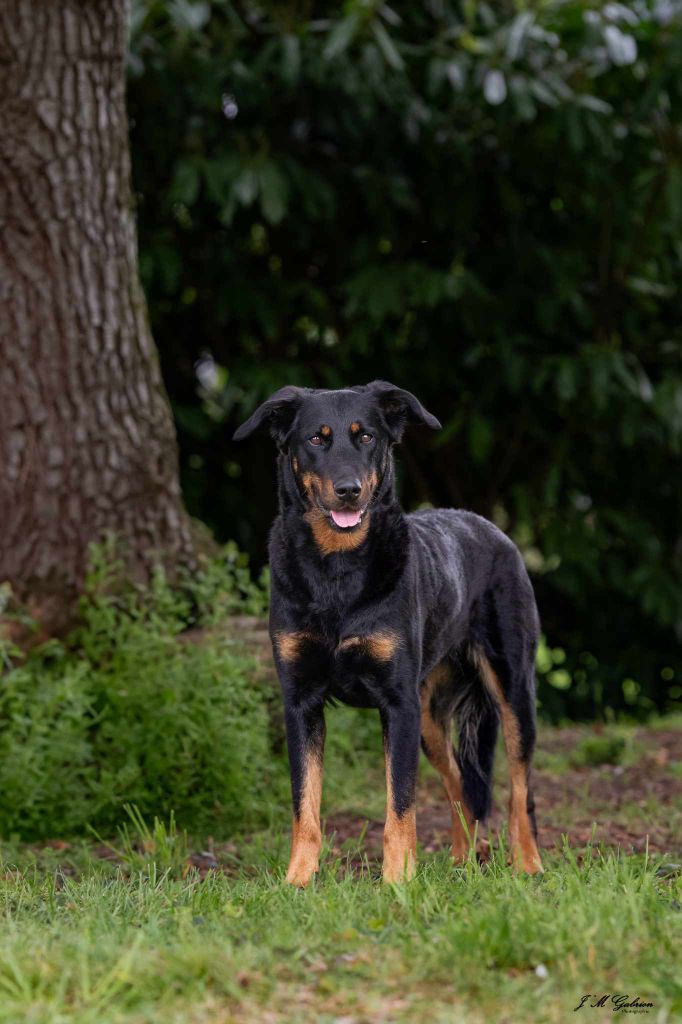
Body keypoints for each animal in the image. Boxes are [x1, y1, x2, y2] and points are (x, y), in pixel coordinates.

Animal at [233, 380, 540, 884]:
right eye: (316, 438)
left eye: (366, 437)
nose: (349, 491)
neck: (337, 569)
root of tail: (493, 530)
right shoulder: (301, 702)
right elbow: (305, 806)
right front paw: (298, 880)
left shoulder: (397, 704)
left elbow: (400, 806)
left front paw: (398, 883)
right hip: (429, 718)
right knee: (460, 784)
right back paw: (461, 862)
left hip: (511, 689)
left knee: (519, 789)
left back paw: (528, 864)